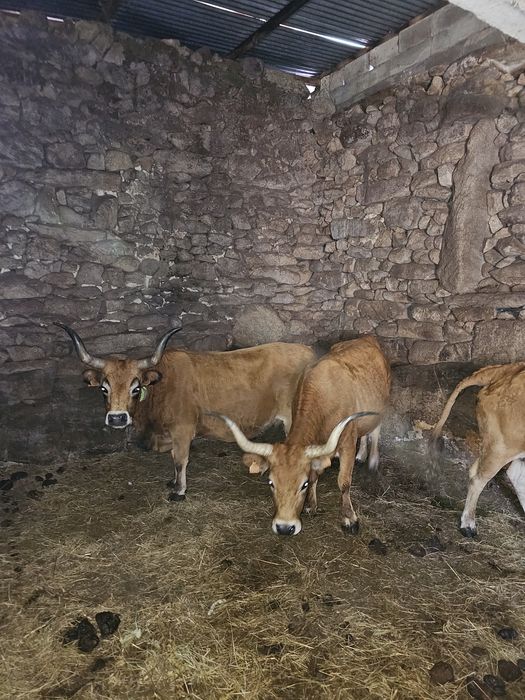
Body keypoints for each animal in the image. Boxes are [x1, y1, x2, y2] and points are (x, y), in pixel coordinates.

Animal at [56, 323, 316, 500]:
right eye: (104, 388)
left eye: (135, 388)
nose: (118, 418)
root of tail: (308, 351)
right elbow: (173, 458)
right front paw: (173, 482)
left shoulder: (182, 430)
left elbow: (180, 459)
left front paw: (179, 491)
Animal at [213, 335, 391, 535]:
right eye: (271, 483)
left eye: (303, 485)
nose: (284, 528)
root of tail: (367, 338)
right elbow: (315, 475)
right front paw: (311, 506)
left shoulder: (347, 444)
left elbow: (344, 482)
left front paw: (349, 519)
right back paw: (361, 455)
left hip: (382, 405)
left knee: (375, 431)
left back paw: (372, 459)